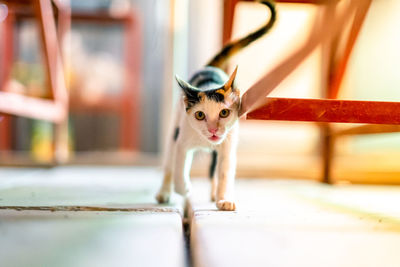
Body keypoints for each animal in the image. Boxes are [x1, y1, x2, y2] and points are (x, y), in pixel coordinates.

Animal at [155, 0, 276, 211]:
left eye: (224, 112)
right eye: (200, 115)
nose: (212, 129)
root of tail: (209, 67)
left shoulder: (228, 144)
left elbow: (224, 171)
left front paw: (224, 199)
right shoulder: (183, 140)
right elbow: (179, 168)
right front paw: (184, 189)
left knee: (214, 168)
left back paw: (213, 193)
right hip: (174, 128)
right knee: (169, 162)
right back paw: (164, 193)